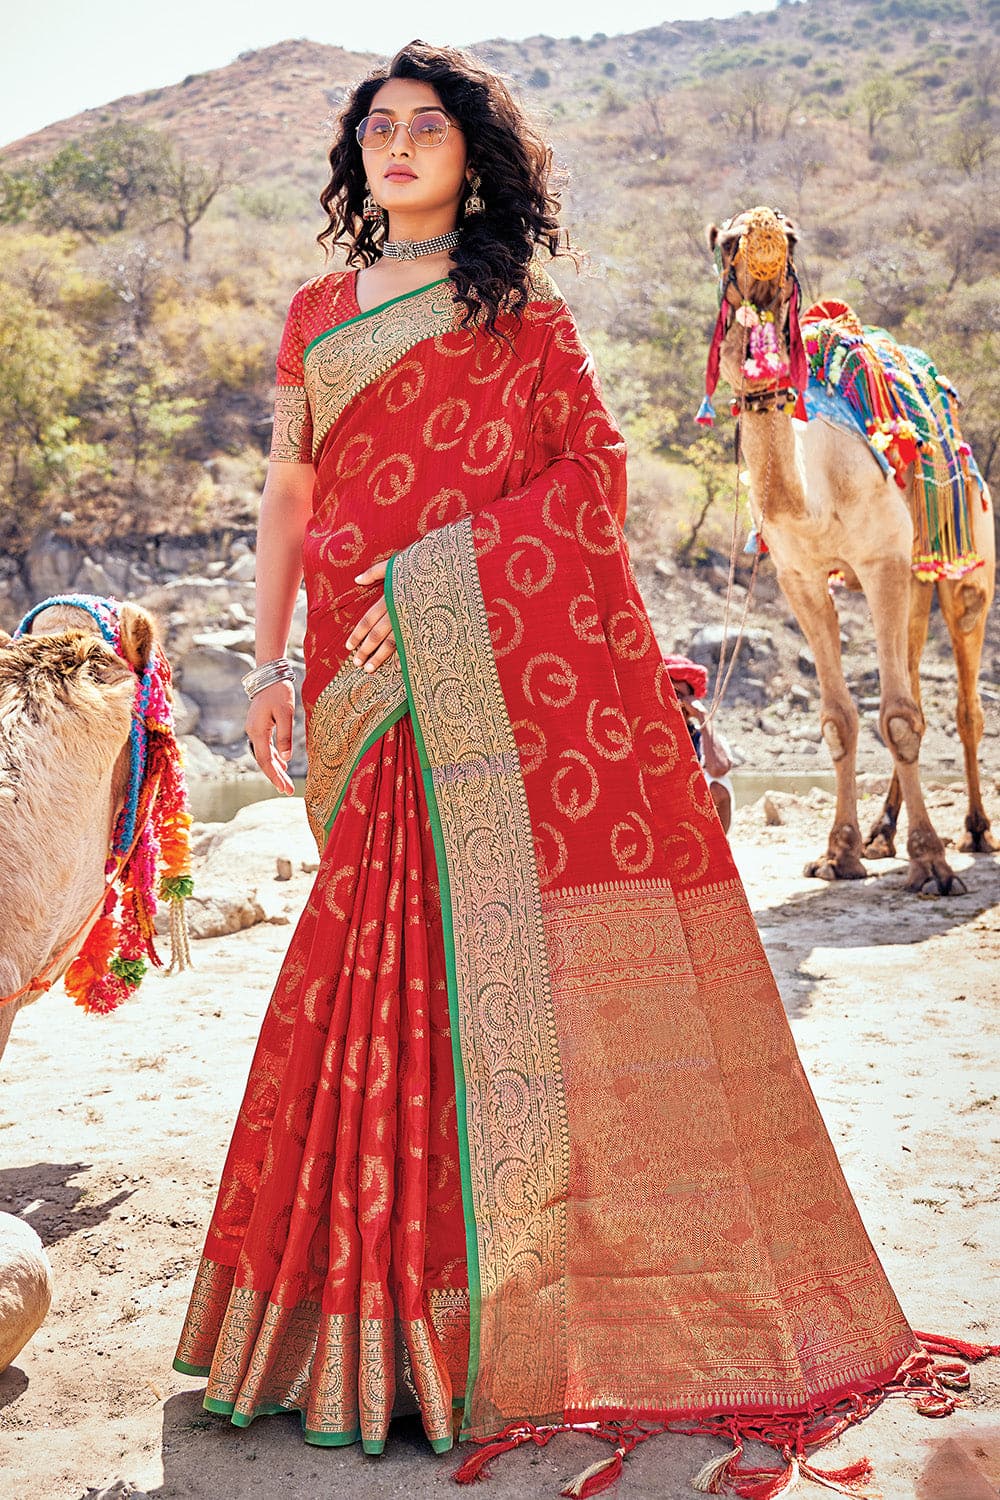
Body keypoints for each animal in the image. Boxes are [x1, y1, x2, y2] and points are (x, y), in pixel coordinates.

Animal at [701, 207, 995, 894]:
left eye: (791, 237)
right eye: (726, 241)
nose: (763, 232)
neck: (817, 490)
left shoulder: (881, 560)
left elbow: (899, 716)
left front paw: (932, 864)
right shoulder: (800, 577)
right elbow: (840, 718)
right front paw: (840, 854)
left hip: (967, 563)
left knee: (964, 701)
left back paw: (972, 831)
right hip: (912, 579)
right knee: (917, 676)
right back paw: (883, 834)